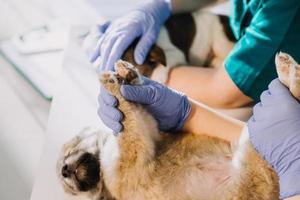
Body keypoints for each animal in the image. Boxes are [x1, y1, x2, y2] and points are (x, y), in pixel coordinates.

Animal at [56, 52, 300, 199]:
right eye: (66, 185)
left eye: (69, 151)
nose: (64, 169)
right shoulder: (134, 156)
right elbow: (128, 119)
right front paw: (112, 83)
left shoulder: (147, 137)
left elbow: (135, 111)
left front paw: (130, 75)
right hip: (257, 155)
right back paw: (288, 73)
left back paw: (288, 70)